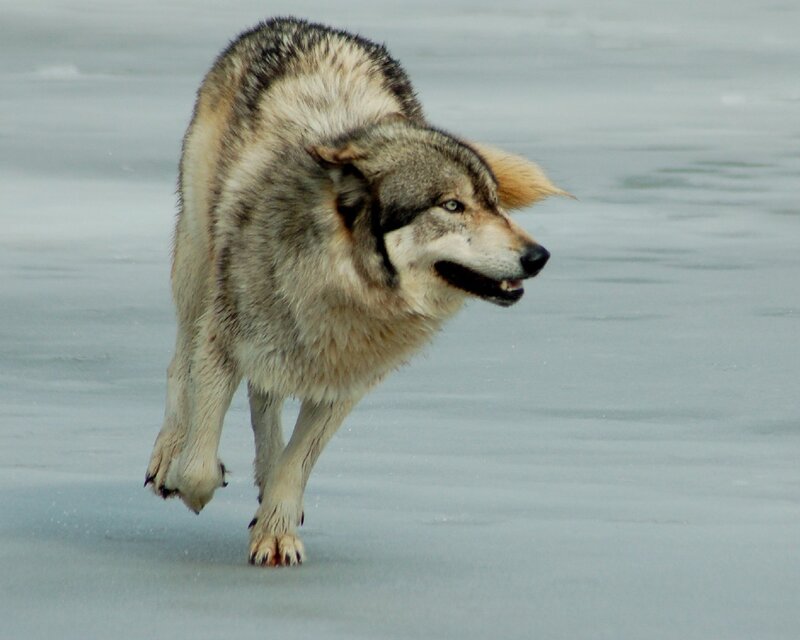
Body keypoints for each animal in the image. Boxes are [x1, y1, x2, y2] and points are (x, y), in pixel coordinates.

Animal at [145, 17, 566, 567]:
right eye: (452, 206)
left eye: (494, 203)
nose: (539, 256)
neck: (344, 287)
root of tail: (296, 21)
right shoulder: (223, 338)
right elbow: (198, 464)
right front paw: (192, 480)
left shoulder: (346, 380)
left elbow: (298, 462)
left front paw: (276, 531)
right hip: (196, 264)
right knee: (181, 361)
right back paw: (166, 455)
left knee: (264, 397)